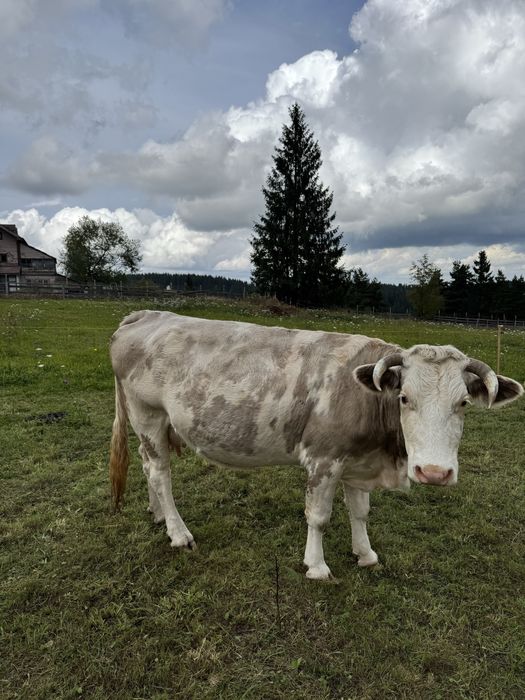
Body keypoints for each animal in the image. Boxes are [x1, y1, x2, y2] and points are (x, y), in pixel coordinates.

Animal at [109, 310, 523, 579]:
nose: (434, 472)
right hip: (147, 414)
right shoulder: (324, 459)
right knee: (159, 472)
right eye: (404, 398)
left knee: (148, 465)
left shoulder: (358, 461)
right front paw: (317, 566)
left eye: (464, 403)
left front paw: (365, 553)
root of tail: (145, 315)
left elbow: (360, 512)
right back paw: (179, 532)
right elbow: (319, 516)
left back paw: (159, 514)